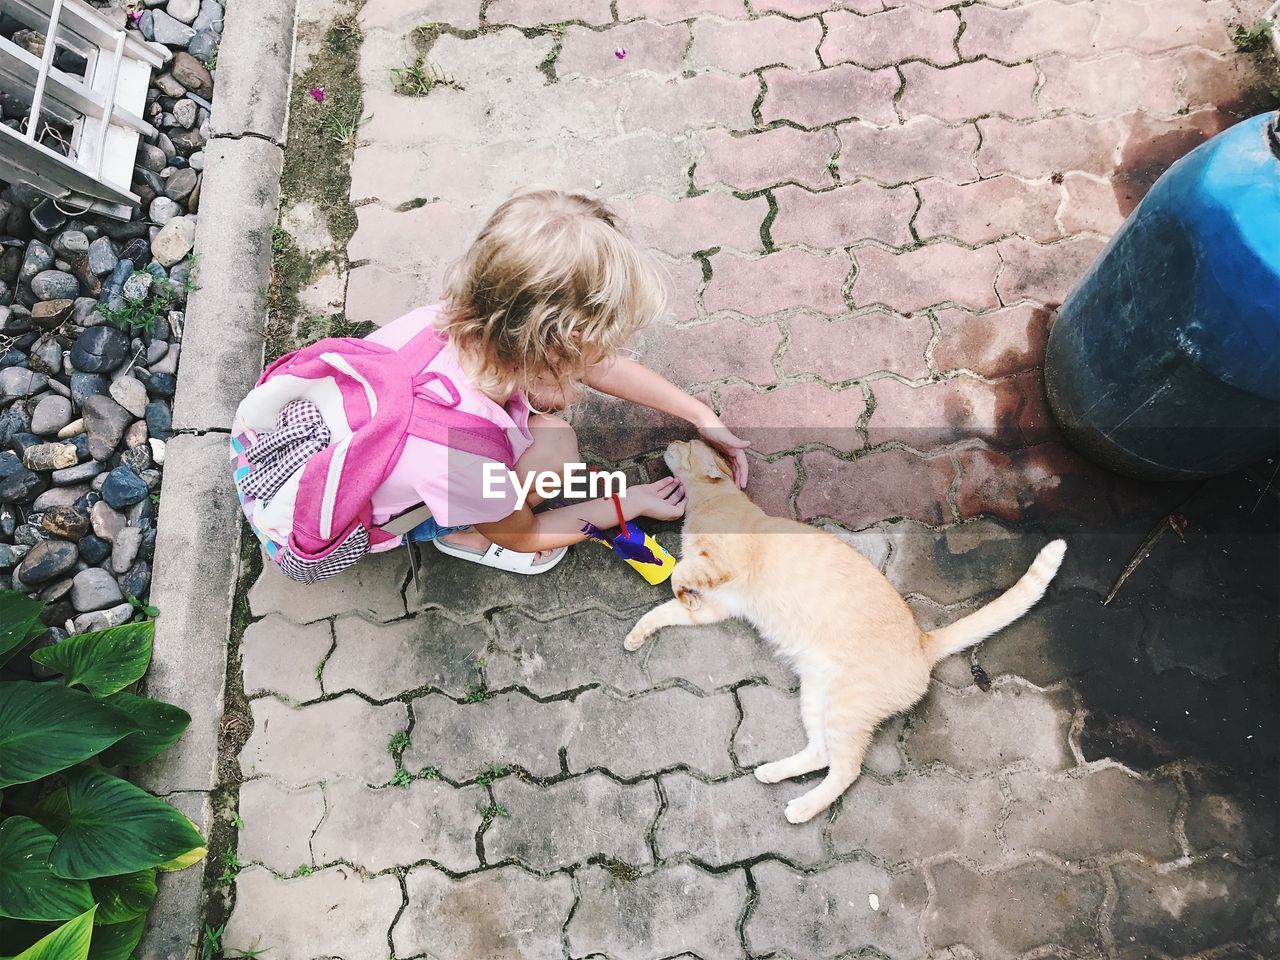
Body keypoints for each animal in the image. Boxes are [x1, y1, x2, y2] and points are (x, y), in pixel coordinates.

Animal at [624, 442, 1064, 829]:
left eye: (686, 444)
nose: (672, 438)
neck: (713, 501)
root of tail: (922, 641)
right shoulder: (720, 604)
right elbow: (663, 611)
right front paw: (638, 633)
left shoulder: (720, 567)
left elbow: (680, 574)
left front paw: (679, 588)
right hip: (817, 695)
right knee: (822, 753)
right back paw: (773, 772)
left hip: (845, 706)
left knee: (847, 768)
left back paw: (802, 807)